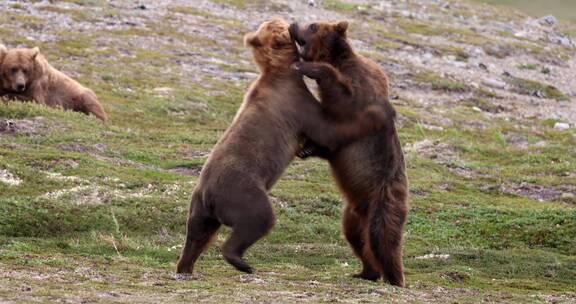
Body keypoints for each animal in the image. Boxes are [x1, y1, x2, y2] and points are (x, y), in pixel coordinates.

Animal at [178, 17, 390, 276]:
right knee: (258, 219)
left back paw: (185, 266)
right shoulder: (295, 103)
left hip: (199, 204)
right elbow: (329, 131)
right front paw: (377, 115)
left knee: (197, 232)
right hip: (241, 190)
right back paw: (240, 260)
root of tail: (209, 195)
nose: (291, 21)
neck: (281, 70)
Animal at [288, 20, 410, 286]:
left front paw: (305, 67)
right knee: (356, 237)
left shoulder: (359, 100)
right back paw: (366, 272)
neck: (338, 59)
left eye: (312, 25)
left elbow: (342, 97)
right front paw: (306, 147)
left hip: (385, 198)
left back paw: (394, 279)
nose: (293, 23)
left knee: (382, 237)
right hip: (353, 213)